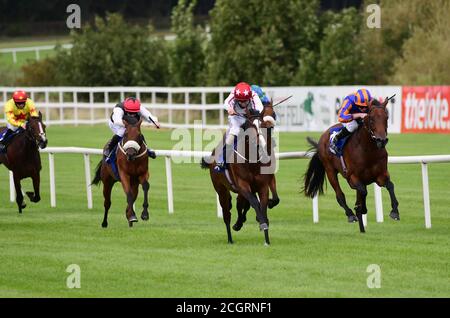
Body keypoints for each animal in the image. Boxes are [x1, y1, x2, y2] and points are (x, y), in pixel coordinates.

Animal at [200, 103, 278, 245]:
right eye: (251, 127)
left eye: (264, 126)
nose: (263, 148)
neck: (253, 162)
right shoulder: (243, 185)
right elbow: (255, 203)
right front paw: (262, 223)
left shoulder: (263, 185)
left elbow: (263, 205)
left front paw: (266, 238)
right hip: (221, 189)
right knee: (227, 213)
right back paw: (230, 238)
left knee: (240, 204)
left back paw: (239, 224)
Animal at [304, 97, 400, 234]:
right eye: (371, 118)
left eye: (386, 117)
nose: (381, 140)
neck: (368, 151)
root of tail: (323, 137)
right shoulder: (352, 177)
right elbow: (363, 191)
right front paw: (361, 208)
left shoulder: (381, 175)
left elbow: (390, 186)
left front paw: (395, 211)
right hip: (330, 170)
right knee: (340, 195)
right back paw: (350, 214)